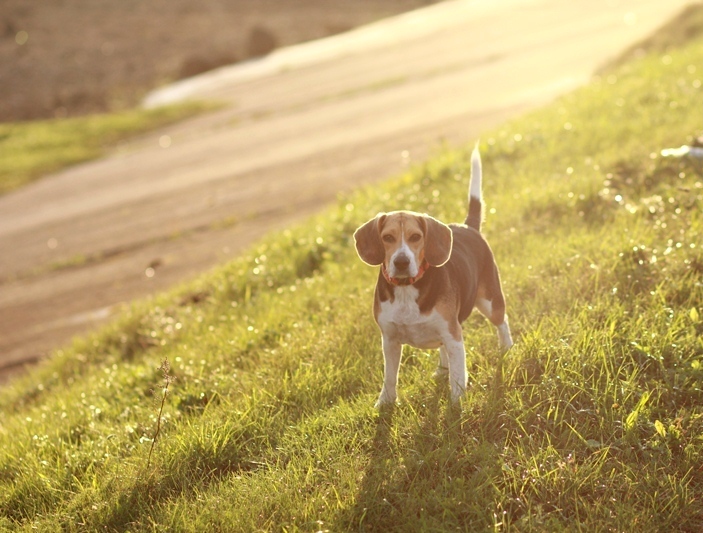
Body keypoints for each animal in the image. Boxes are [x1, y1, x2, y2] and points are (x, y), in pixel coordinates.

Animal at [354, 143, 516, 406]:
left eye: (415, 237)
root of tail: (468, 226)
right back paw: (442, 369)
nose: (401, 262)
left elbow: (458, 378)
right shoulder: (389, 340)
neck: (406, 287)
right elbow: (390, 376)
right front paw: (385, 402)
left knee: (502, 322)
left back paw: (507, 348)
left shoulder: (454, 336)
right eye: (387, 237)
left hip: (490, 300)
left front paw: (457, 405)